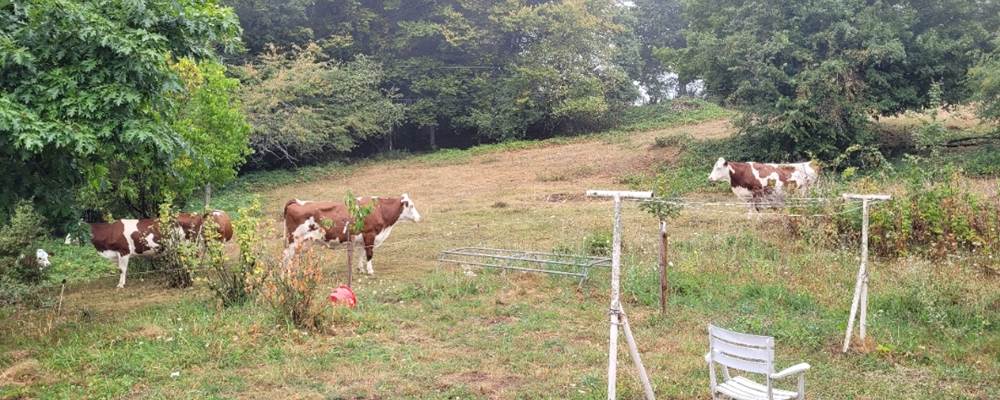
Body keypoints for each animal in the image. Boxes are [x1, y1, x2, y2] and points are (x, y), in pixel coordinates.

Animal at [89, 210, 233, 288]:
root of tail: (196, 215)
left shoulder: (124, 251)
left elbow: (122, 269)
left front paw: (120, 284)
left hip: (190, 244)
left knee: (193, 259)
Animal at [282, 194, 422, 275]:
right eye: (412, 206)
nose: (419, 218)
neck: (380, 210)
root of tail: (297, 201)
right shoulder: (370, 234)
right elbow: (369, 253)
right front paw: (370, 271)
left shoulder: (362, 238)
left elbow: (361, 253)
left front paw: (360, 269)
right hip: (293, 240)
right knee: (286, 258)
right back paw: (286, 275)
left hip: (303, 242)